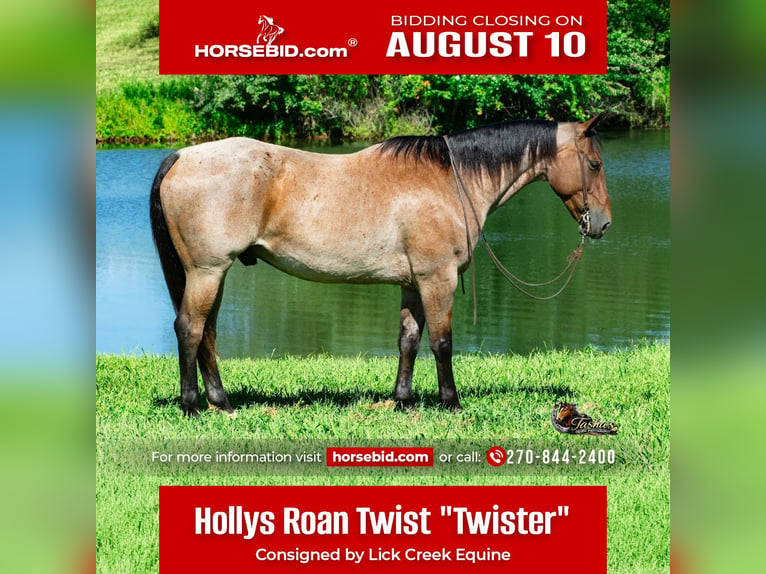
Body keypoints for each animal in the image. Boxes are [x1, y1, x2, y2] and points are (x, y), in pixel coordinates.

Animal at [150, 115, 612, 416]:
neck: (451, 181)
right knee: (190, 329)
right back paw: (192, 406)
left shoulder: (413, 283)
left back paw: (222, 402)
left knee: (207, 333)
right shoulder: (437, 278)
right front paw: (451, 403)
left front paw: (402, 401)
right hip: (208, 272)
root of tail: (182, 156)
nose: (603, 223)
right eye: (594, 164)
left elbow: (408, 340)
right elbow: (441, 342)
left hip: (212, 275)